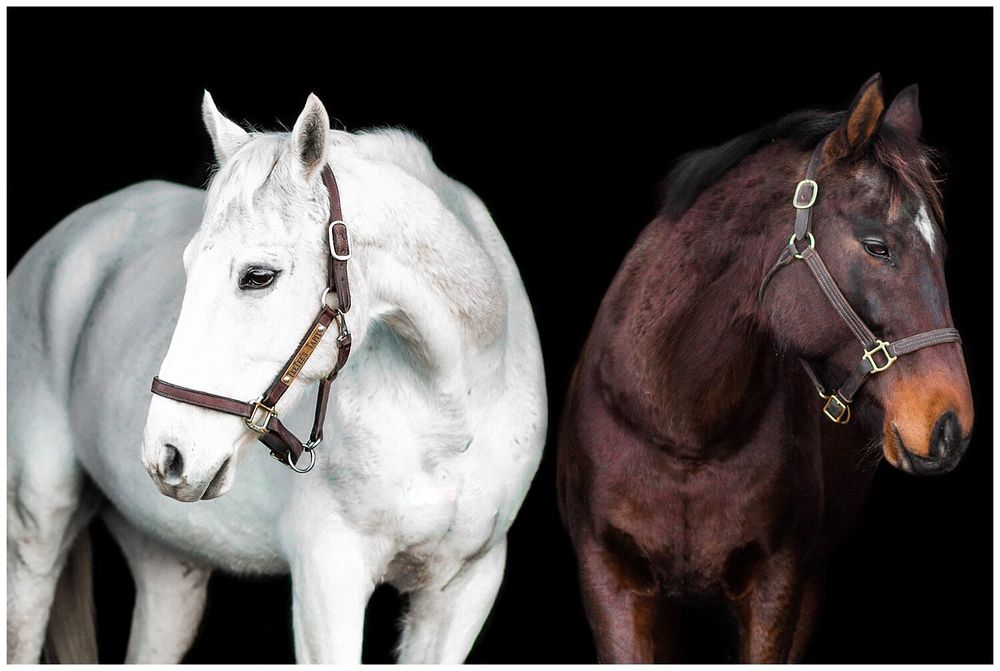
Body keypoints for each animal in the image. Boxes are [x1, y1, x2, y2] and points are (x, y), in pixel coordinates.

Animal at [7, 92, 547, 663]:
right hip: (34, 533)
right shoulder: (328, 577)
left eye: (258, 276)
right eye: (187, 267)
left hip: (167, 563)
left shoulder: (465, 587)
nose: (167, 455)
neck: (451, 417)